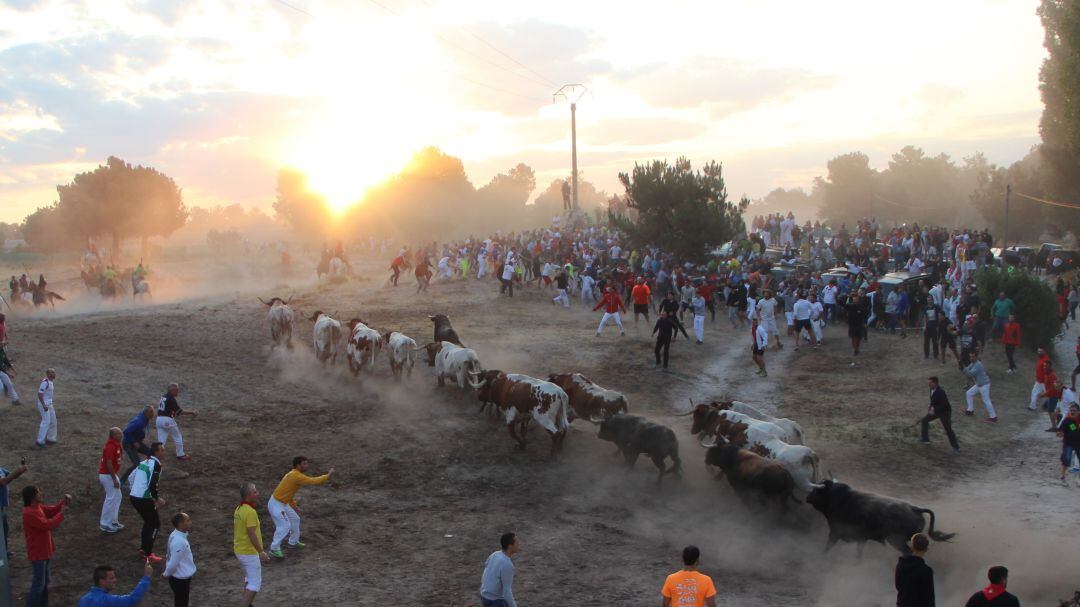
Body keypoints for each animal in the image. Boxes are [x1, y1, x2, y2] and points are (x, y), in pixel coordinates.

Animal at [807, 477, 959, 552]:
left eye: (816, 491)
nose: (807, 497)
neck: (839, 499)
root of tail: (915, 508)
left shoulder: (835, 533)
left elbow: (827, 548)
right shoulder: (862, 539)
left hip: (897, 541)